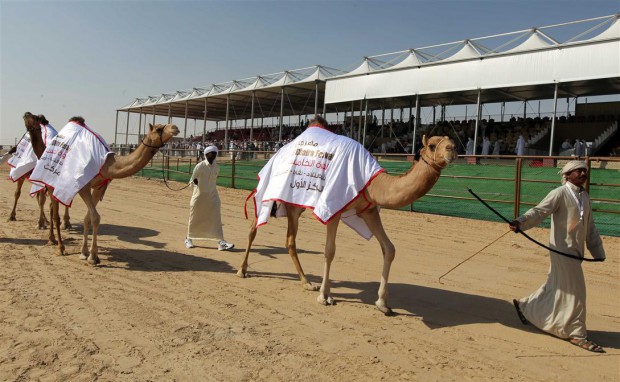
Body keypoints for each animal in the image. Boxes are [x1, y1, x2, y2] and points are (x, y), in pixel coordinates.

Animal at [23, 112, 179, 264]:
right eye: (158, 128)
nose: (175, 127)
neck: (106, 163)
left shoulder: (100, 187)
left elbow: (89, 217)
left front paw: (85, 252)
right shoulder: (83, 186)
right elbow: (95, 216)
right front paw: (92, 256)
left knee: (52, 208)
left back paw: (53, 239)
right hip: (51, 183)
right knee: (54, 213)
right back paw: (59, 247)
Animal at [236, 131, 456, 314]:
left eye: (450, 140)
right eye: (432, 145)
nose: (452, 149)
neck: (372, 183)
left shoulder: (368, 211)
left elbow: (389, 249)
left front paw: (383, 303)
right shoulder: (333, 209)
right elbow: (329, 250)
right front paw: (325, 296)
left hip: (294, 206)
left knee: (289, 240)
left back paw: (307, 282)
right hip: (269, 194)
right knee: (254, 230)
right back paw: (242, 270)